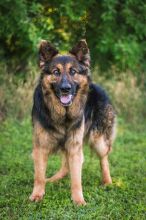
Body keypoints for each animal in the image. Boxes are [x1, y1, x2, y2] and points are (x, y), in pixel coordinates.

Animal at [29, 40, 116, 206]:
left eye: (73, 71)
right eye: (56, 72)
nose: (65, 89)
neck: (63, 115)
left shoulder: (75, 147)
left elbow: (76, 178)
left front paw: (78, 200)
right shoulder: (41, 147)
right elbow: (39, 175)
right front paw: (37, 194)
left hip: (98, 140)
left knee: (104, 159)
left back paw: (107, 182)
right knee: (65, 166)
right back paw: (54, 179)